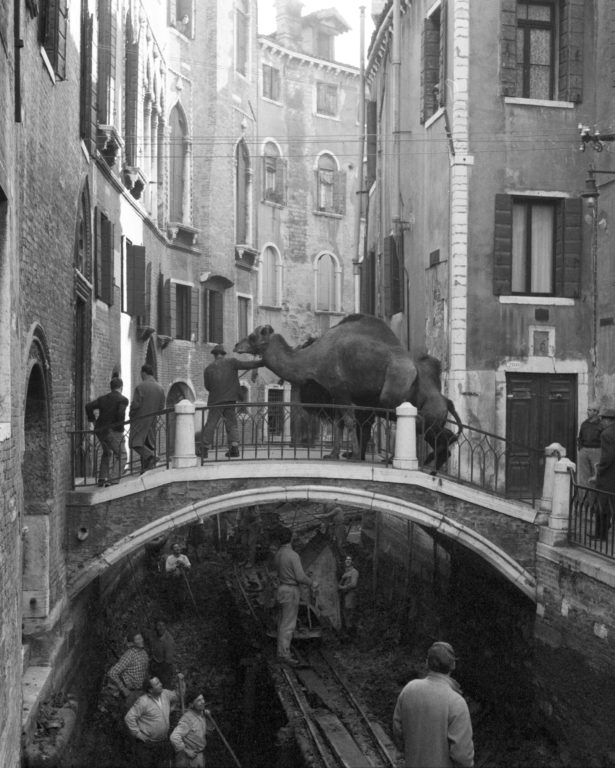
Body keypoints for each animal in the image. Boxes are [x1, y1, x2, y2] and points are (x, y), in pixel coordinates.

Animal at [236, 314, 462, 468]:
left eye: (252, 336)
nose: (237, 345)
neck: (312, 359)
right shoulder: (334, 393)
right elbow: (339, 423)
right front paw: (333, 454)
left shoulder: (341, 389)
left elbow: (350, 422)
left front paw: (353, 455)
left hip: (397, 396)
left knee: (426, 427)